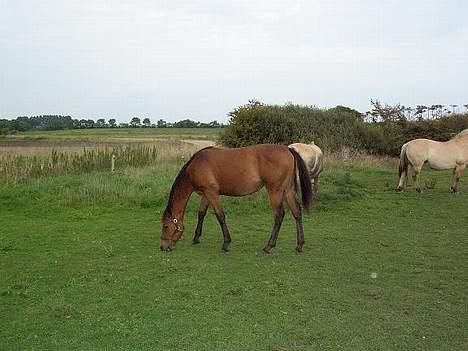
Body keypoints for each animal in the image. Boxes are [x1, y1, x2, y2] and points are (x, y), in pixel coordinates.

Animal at [159, 144, 312, 254]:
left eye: (165, 226)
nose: (163, 247)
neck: (195, 165)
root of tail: (288, 149)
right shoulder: (207, 194)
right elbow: (201, 213)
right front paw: (196, 238)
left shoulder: (212, 193)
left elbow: (220, 216)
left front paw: (226, 243)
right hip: (288, 190)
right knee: (297, 212)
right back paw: (299, 245)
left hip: (275, 191)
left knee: (279, 215)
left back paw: (269, 246)